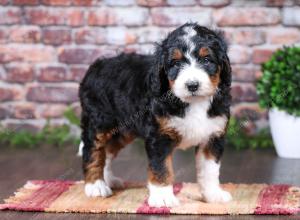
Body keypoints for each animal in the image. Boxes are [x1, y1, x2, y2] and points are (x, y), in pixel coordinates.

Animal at [78, 22, 232, 208]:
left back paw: (109, 179)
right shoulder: (159, 136)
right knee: (92, 150)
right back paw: (96, 186)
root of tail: (96, 66)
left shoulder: (213, 136)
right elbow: (161, 167)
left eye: (207, 60)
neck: (193, 103)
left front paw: (213, 195)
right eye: (175, 63)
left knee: (107, 151)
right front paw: (163, 197)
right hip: (99, 121)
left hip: (122, 131)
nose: (192, 85)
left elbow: (210, 169)